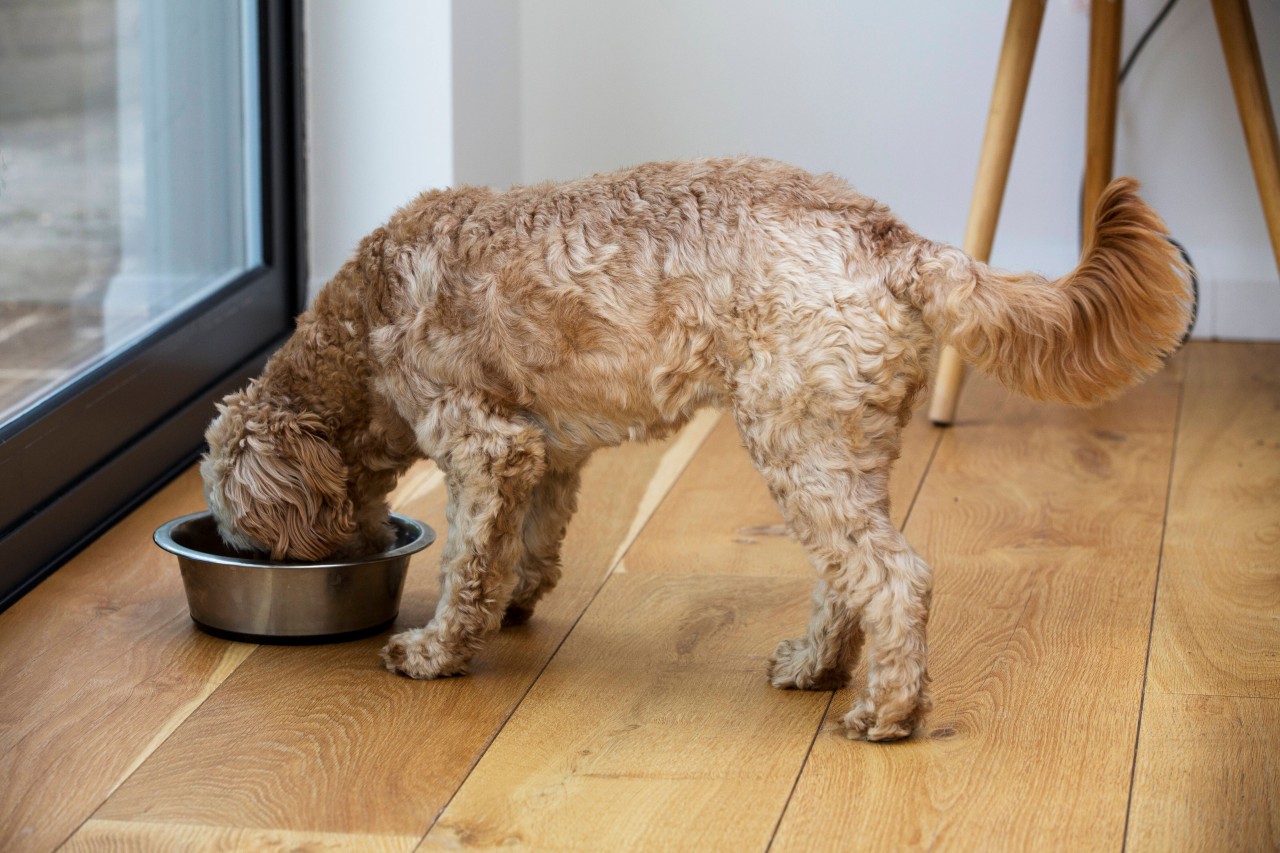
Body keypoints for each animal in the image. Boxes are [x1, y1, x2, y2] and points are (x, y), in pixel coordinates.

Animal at [199, 157, 1187, 737]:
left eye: (244, 532)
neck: (361, 325)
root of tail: (897, 243)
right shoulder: (546, 451)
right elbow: (529, 543)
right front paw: (516, 601)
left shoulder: (483, 445)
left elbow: (465, 563)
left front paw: (438, 649)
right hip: (838, 442)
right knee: (851, 576)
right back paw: (816, 665)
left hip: (794, 438)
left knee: (895, 577)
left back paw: (888, 709)